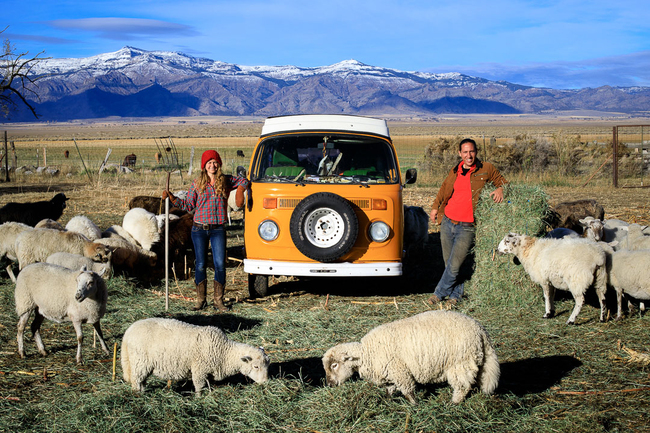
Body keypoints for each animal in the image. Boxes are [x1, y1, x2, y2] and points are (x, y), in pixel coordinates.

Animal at [120, 316, 270, 394]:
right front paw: (199, 398)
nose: (265, 382)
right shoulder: (199, 369)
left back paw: (143, 392)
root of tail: (128, 332)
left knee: (141, 381)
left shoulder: (207, 371)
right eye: (256, 366)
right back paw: (138, 395)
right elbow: (199, 386)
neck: (224, 352)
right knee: (136, 381)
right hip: (139, 362)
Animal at [322, 308, 498, 404]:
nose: (329, 384)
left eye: (334, 365)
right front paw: (388, 400)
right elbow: (390, 389)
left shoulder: (400, 371)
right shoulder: (390, 373)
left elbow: (408, 391)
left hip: (460, 363)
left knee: (462, 386)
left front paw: (415, 405)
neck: (367, 353)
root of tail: (480, 330)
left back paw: (453, 403)